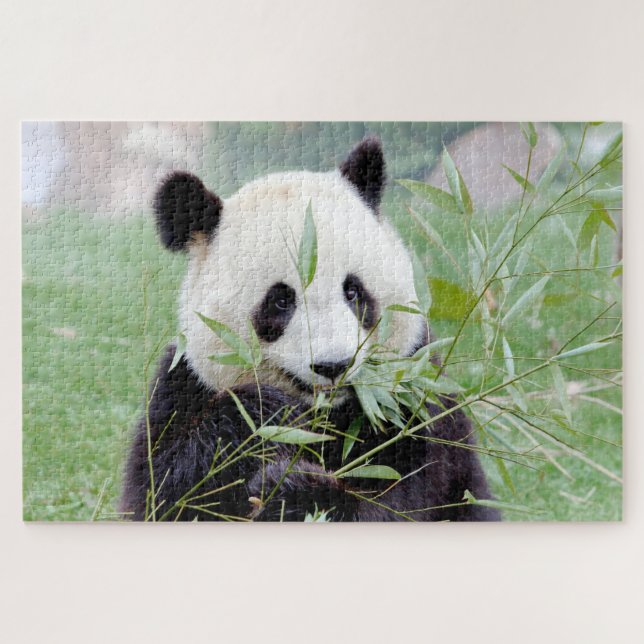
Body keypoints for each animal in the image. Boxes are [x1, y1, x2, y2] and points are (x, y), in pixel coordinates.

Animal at [120, 136, 501, 522]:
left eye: (353, 291)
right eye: (280, 301)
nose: (334, 366)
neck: (330, 416)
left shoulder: (418, 399)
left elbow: (402, 496)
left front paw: (297, 492)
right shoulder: (184, 387)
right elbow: (165, 489)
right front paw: (268, 416)